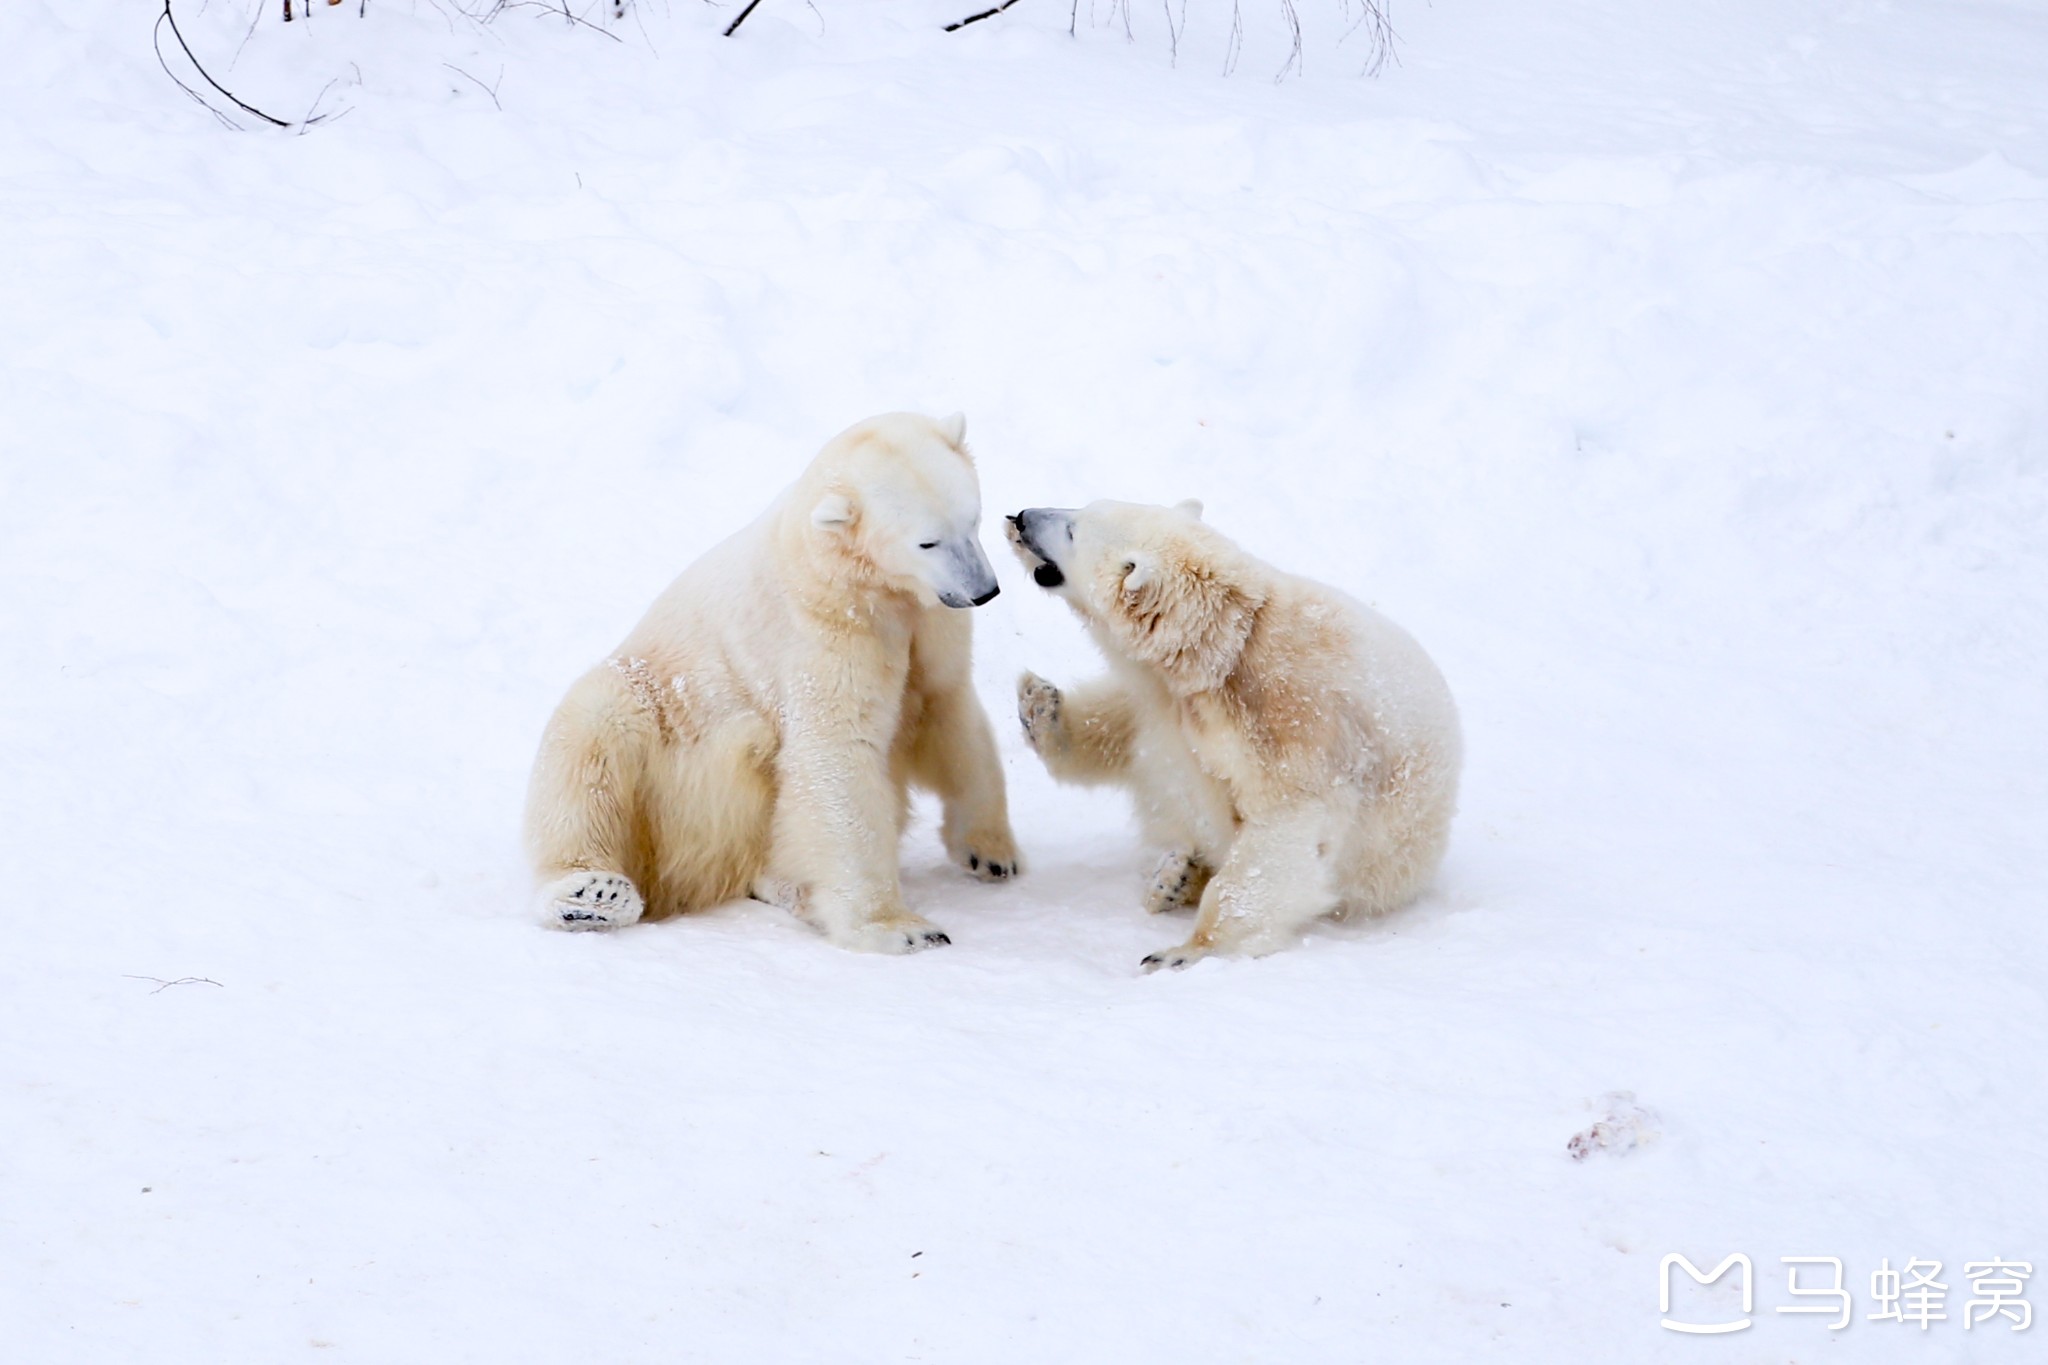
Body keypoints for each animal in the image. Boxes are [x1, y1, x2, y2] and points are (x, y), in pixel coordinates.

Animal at [520, 411, 1015, 957]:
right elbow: (836, 753)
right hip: (665, 742)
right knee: (592, 737)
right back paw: (591, 894)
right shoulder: (823, 626)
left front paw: (991, 851)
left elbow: (946, 709)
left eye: (973, 519)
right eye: (927, 541)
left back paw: (789, 887)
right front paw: (901, 928)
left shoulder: (929, 622)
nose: (985, 591)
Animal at [1003, 497, 1458, 965]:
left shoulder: (1291, 726)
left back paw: (1179, 879)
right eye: (1080, 507)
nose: (1021, 517)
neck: (1225, 650)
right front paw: (1040, 705)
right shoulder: (1163, 693)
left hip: (1391, 864)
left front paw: (1181, 952)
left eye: (1073, 530)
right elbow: (1124, 720)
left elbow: (1283, 832)